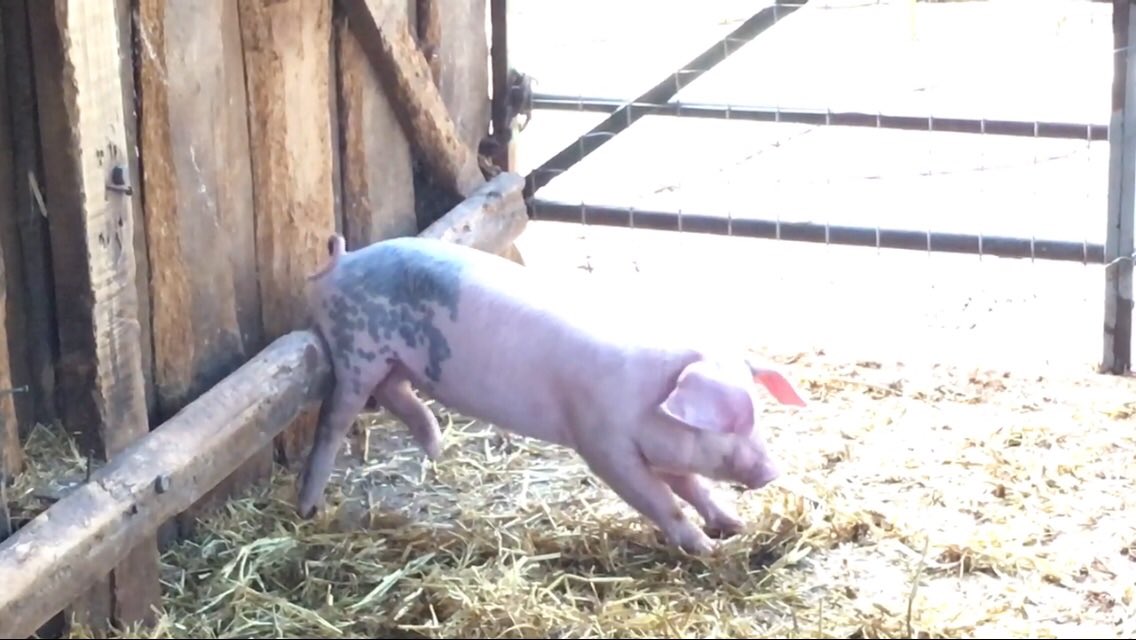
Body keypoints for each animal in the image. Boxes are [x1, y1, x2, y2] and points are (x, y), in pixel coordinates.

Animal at [296, 233, 807, 555]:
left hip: (391, 360)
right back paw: (308, 509)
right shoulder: (602, 444)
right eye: (731, 419)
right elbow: (660, 499)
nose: (772, 470)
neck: (648, 402)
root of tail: (343, 262)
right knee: (333, 424)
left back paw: (435, 444)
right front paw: (708, 551)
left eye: (756, 413)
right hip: (354, 351)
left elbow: (694, 487)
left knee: (394, 390)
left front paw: (735, 526)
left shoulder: (657, 449)